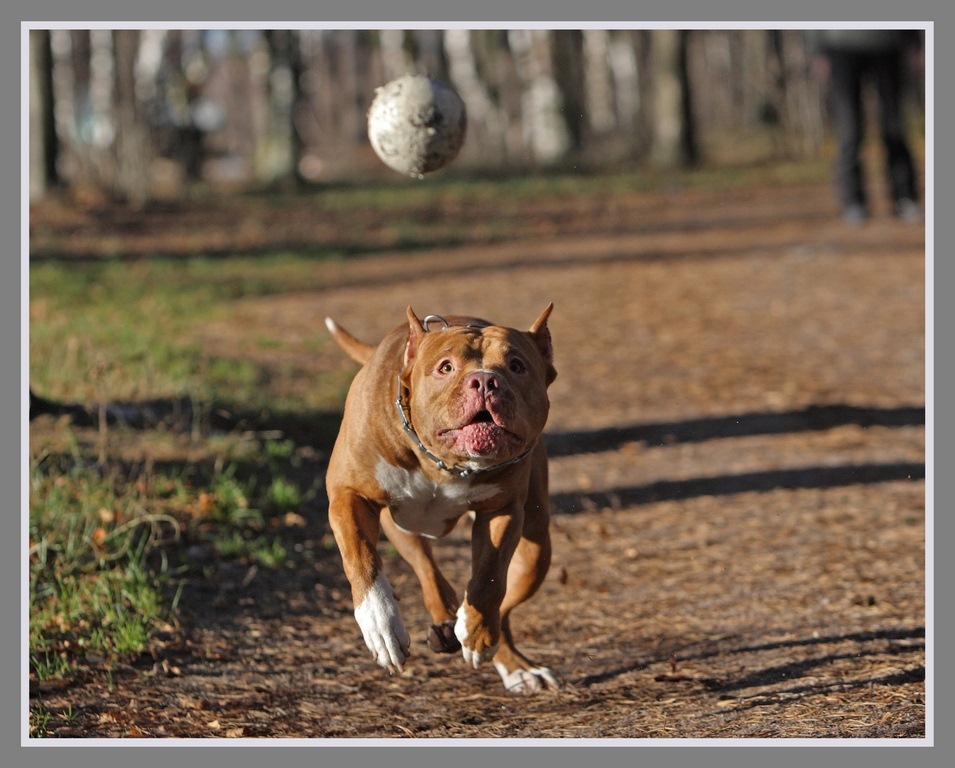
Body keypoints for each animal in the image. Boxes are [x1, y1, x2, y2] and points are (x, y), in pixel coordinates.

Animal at [324, 306, 556, 696]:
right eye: (445, 367)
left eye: (516, 366)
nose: (485, 381)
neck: (445, 465)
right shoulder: (347, 493)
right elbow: (361, 557)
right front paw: (381, 625)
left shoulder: (503, 510)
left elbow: (489, 577)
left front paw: (476, 631)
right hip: (402, 527)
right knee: (426, 569)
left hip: (536, 548)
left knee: (503, 604)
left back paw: (511, 663)